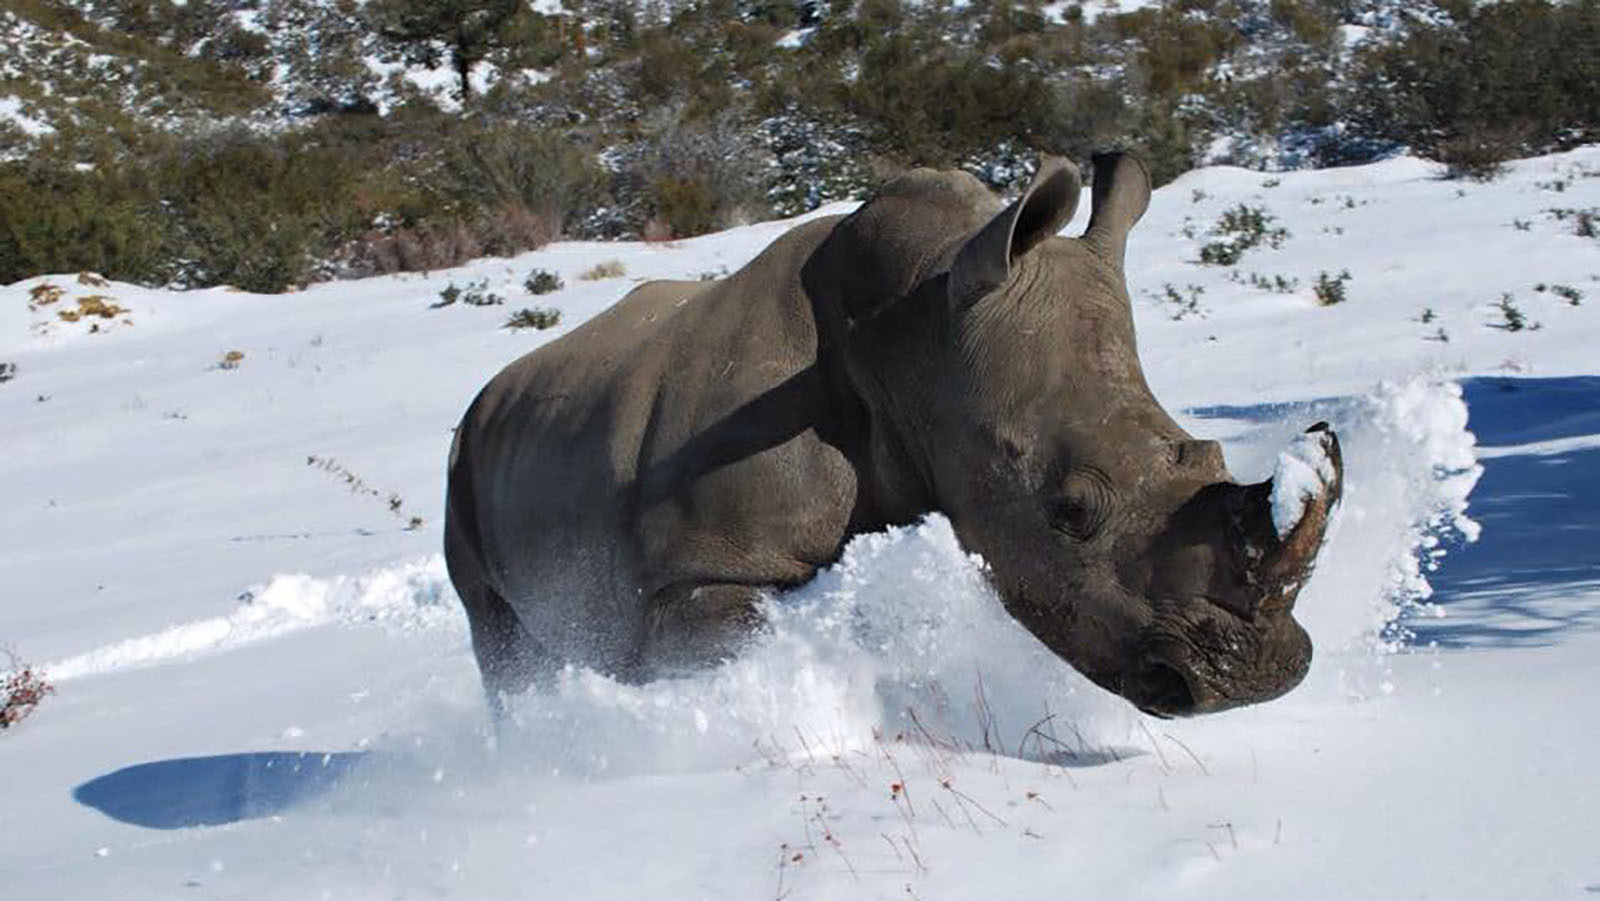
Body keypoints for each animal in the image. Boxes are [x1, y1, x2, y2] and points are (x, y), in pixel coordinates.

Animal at [444, 152, 1342, 719]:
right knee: (502, 647)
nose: (1251, 677)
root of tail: (484, 396)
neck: (915, 338)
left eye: (1210, 455)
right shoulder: (698, 568)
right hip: (462, 467)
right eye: (1072, 511)